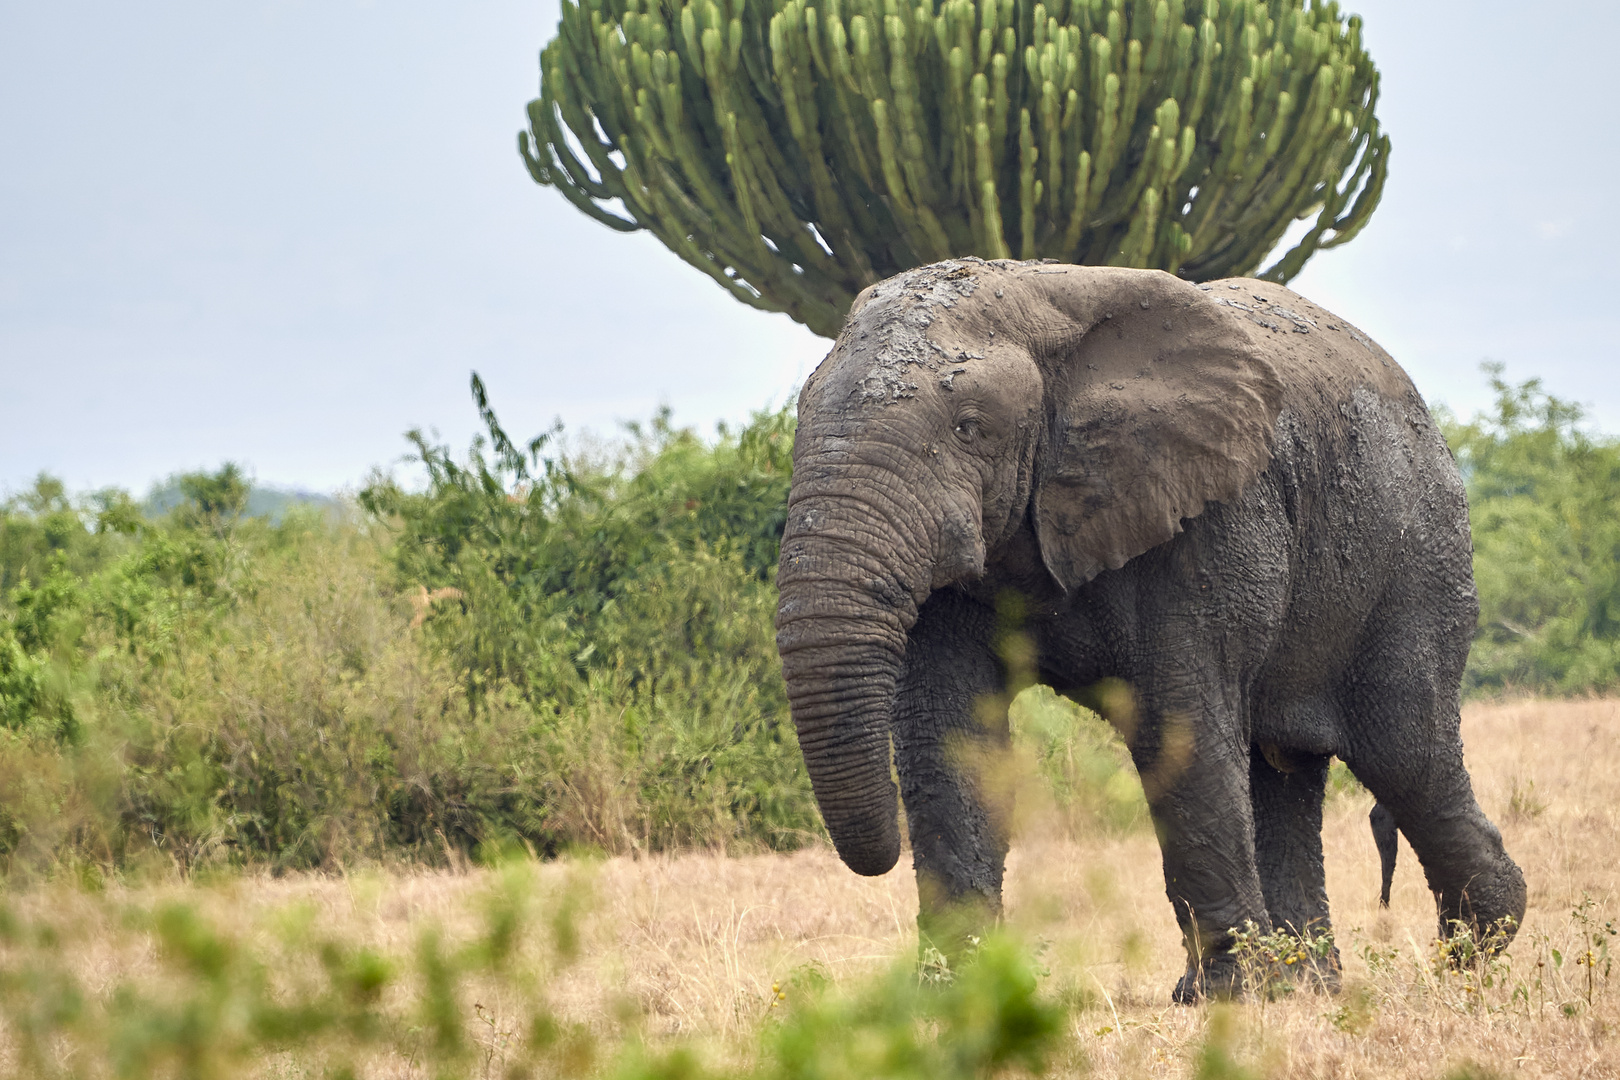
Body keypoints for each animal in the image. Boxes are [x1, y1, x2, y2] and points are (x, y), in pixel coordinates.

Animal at [777, 257, 1522, 1003]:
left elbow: (1179, 731)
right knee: (1285, 771)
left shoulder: (1209, 517)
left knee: (1405, 752)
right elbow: (947, 738)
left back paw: (1475, 952)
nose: (877, 857)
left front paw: (1225, 998)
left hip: (1416, 561)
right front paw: (953, 1000)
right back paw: (1308, 986)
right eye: (799, 424)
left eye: (970, 427)